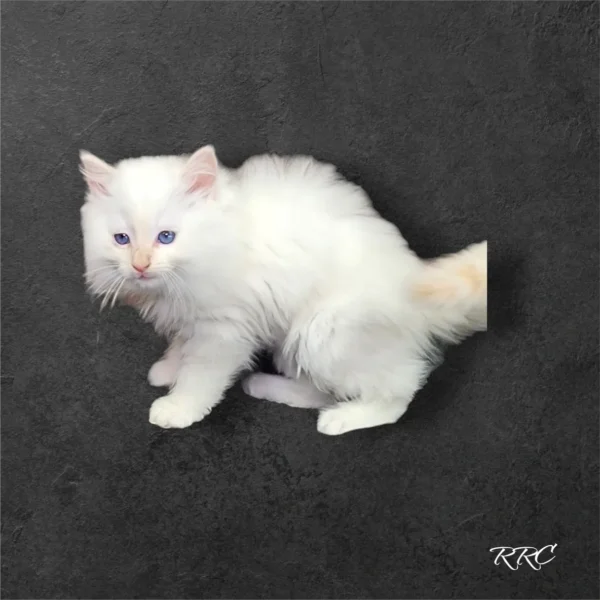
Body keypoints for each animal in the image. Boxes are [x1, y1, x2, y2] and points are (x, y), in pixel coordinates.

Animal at [79, 145, 486, 436]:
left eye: (166, 237)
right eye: (121, 239)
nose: (140, 265)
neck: (218, 239)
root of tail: (414, 279)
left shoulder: (223, 330)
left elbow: (201, 375)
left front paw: (179, 406)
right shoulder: (194, 316)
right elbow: (183, 346)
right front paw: (168, 369)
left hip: (322, 331)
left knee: (400, 391)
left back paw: (341, 419)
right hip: (293, 342)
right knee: (321, 390)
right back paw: (262, 385)